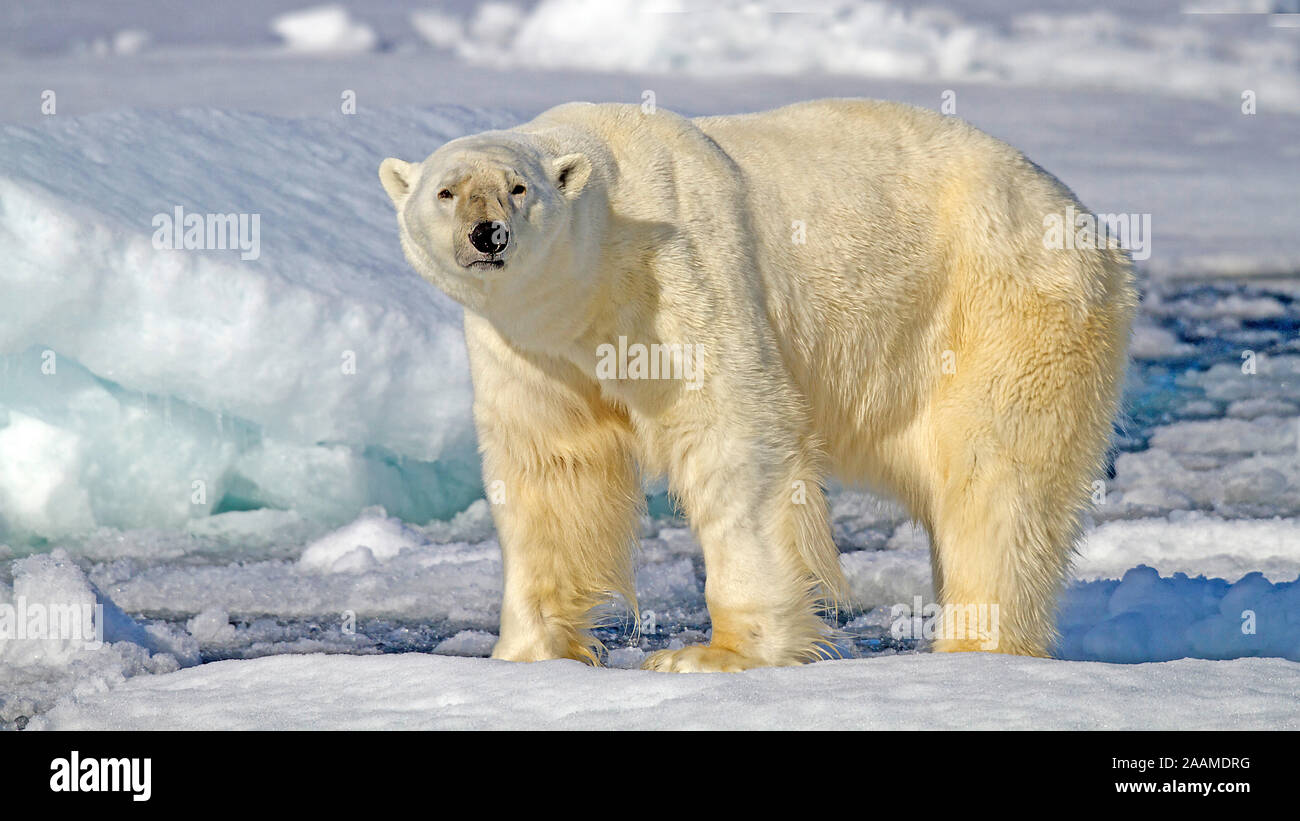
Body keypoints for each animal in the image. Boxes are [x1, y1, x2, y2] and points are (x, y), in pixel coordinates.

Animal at [379, 99, 1138, 670]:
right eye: (445, 191)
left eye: (519, 188)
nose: (487, 234)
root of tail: (1087, 224)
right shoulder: (528, 347)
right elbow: (550, 469)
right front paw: (523, 653)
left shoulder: (679, 275)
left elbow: (732, 434)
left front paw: (712, 655)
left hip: (1001, 307)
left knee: (997, 478)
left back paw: (975, 646)